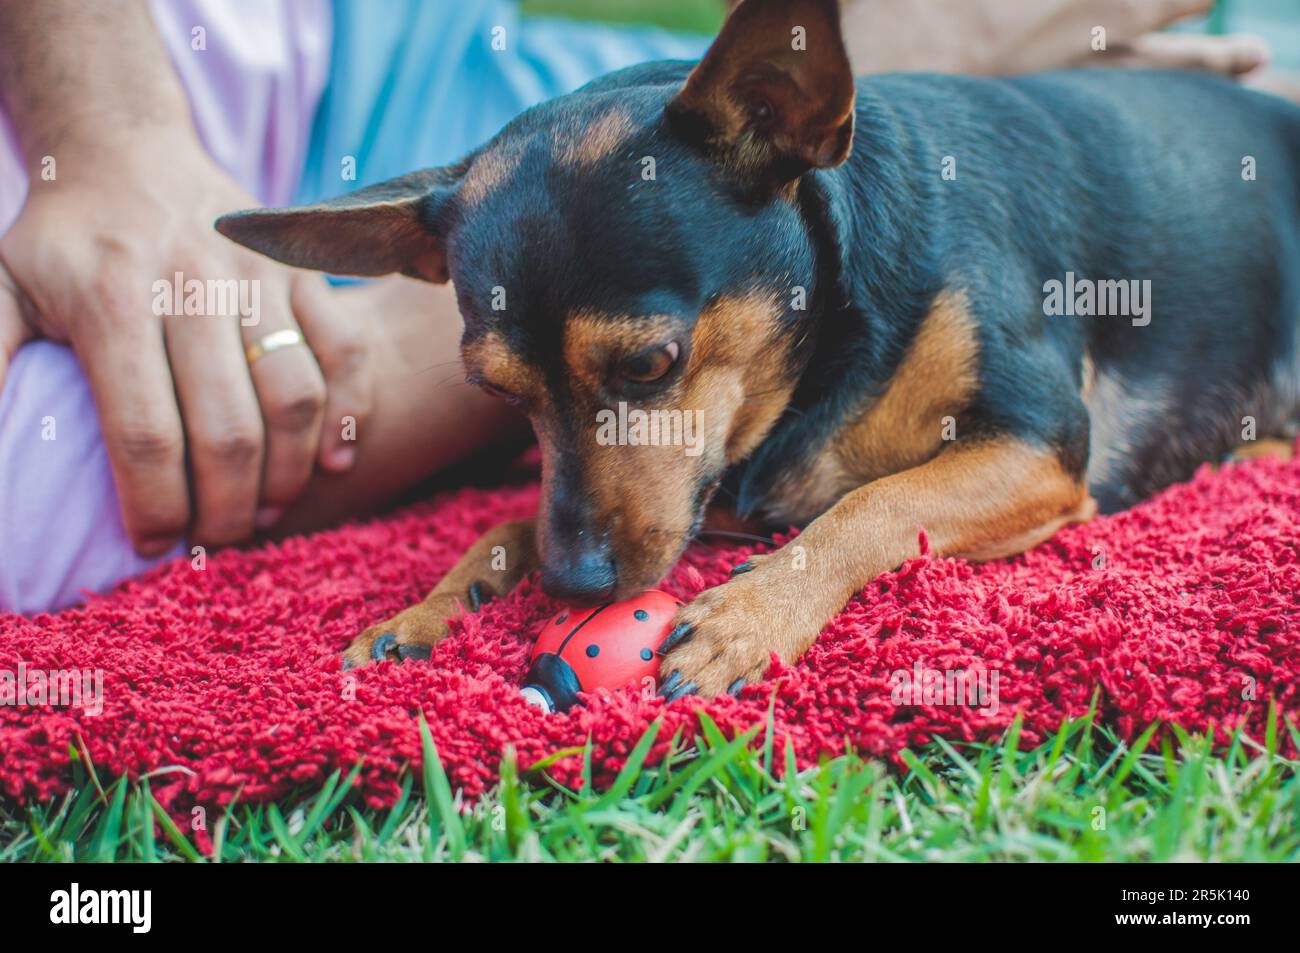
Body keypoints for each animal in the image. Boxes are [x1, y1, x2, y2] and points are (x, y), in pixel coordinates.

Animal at [218, 0, 1294, 696]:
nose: (574, 588)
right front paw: (432, 604)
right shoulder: (700, 497)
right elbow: (513, 516)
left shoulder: (1040, 447)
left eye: (649, 364)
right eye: (498, 394)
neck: (827, 355)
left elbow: (876, 500)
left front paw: (752, 610)